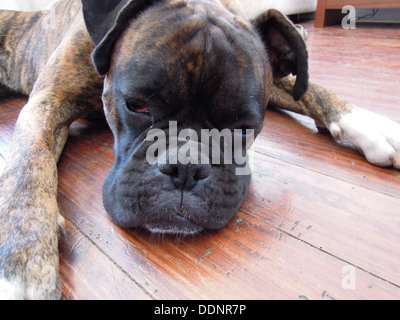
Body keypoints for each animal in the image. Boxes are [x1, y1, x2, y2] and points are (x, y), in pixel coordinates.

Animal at [0, 0, 400, 300]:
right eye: (136, 105)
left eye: (243, 127)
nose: (186, 168)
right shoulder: (47, 103)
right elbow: (27, 166)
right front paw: (25, 255)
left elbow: (308, 87)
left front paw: (368, 124)